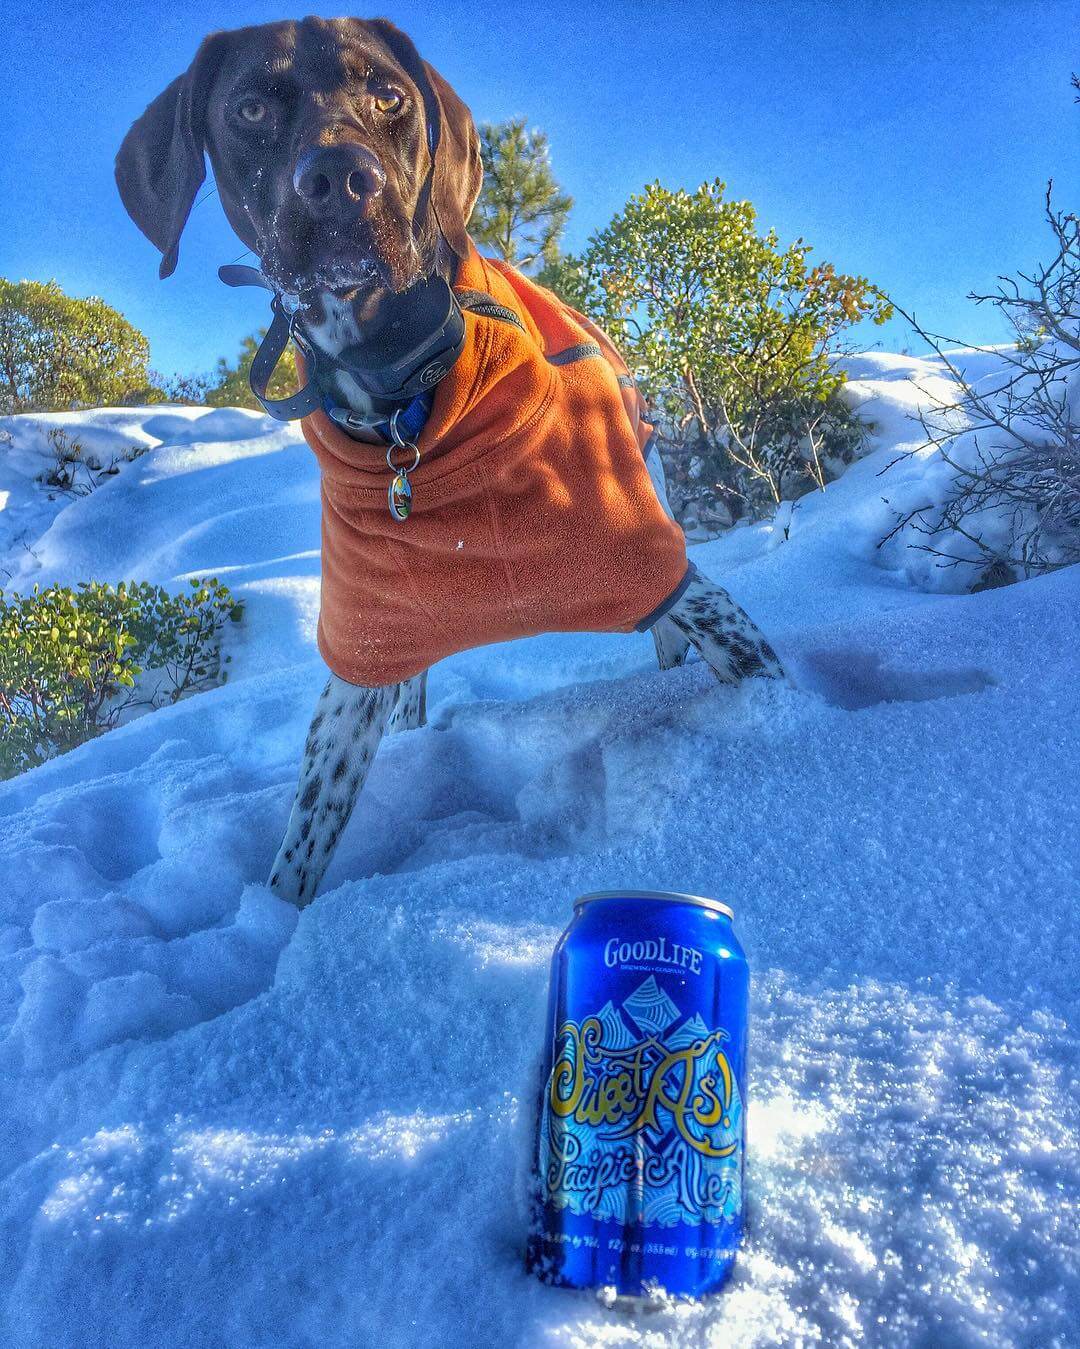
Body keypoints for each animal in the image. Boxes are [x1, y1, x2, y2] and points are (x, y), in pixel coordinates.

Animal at [115, 15, 782, 906]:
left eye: (390, 97)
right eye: (251, 107)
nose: (340, 179)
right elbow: (301, 847)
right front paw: (276, 931)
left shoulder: (676, 583)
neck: (405, 398)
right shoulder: (364, 652)